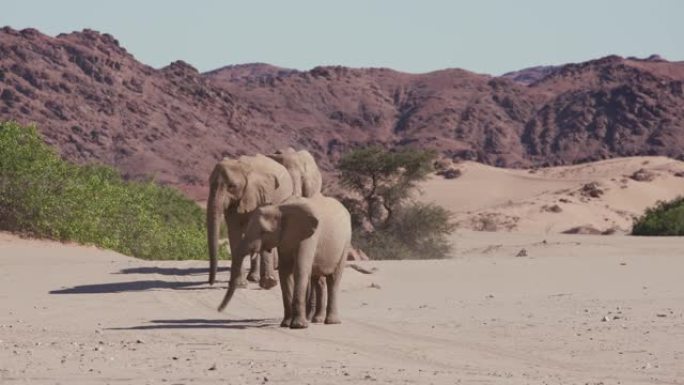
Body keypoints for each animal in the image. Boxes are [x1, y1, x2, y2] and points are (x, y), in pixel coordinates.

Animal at [208, 153, 294, 284]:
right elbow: (234, 231)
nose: (211, 282)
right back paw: (253, 278)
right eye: (209, 184)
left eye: (232, 186)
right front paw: (240, 284)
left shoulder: (261, 195)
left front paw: (266, 281)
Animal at [218, 195, 352, 328]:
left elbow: (300, 269)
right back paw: (317, 320)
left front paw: (299, 326)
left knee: (333, 279)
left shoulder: (309, 237)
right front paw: (286, 324)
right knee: (318, 279)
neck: (280, 208)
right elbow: (285, 272)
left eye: (264, 232)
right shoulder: (284, 238)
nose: (219, 310)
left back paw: (332, 322)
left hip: (345, 243)